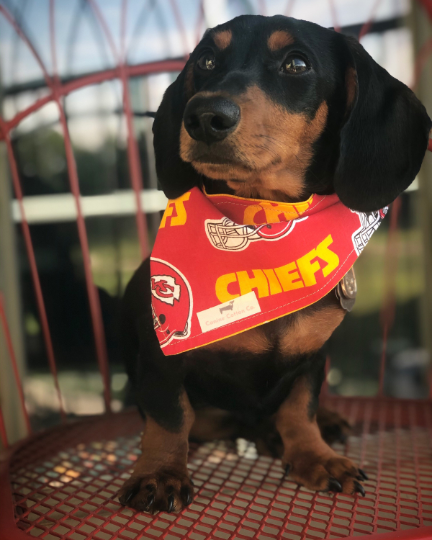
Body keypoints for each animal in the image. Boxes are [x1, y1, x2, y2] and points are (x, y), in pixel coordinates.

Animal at [118, 14, 432, 512]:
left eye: (297, 63)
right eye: (206, 61)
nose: (203, 117)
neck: (260, 230)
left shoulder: (312, 358)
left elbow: (299, 409)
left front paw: (314, 457)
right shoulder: (162, 358)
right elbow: (171, 417)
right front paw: (160, 473)